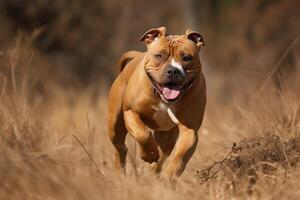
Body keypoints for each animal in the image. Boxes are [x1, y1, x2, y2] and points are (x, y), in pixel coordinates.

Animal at [108, 27, 206, 180]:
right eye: (159, 56)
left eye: (186, 58)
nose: (173, 70)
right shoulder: (130, 111)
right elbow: (142, 133)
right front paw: (149, 154)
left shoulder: (190, 130)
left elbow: (180, 156)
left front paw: (170, 175)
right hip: (114, 123)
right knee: (120, 148)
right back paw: (121, 173)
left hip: (166, 137)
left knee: (161, 158)